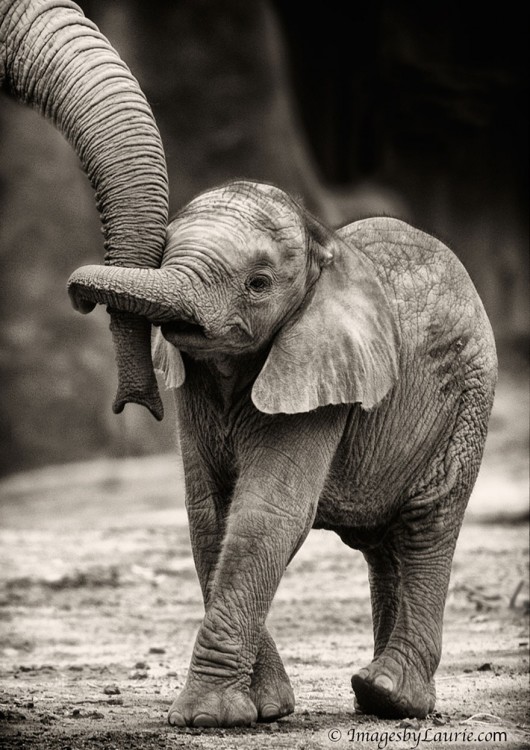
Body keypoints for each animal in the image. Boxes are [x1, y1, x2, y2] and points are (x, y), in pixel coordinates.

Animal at [69, 181, 496, 728]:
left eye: (259, 283)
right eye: (163, 254)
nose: (80, 300)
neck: (322, 249)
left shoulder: (320, 373)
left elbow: (265, 515)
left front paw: (206, 718)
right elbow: (210, 516)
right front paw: (266, 709)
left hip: (467, 399)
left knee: (427, 523)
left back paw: (392, 696)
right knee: (385, 547)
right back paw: (374, 698)